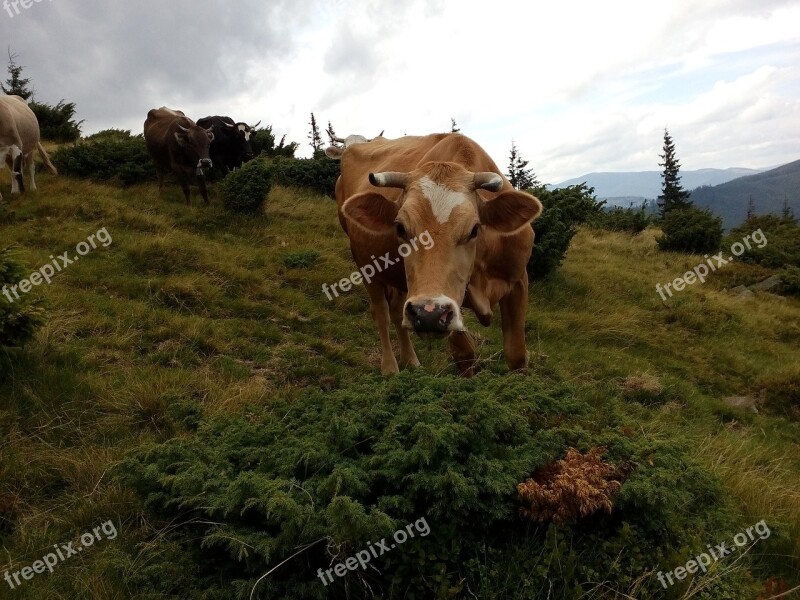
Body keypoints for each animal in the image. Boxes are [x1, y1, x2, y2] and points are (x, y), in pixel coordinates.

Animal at [326, 132, 544, 376]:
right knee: (381, 313)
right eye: (400, 228)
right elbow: (464, 353)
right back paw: (390, 366)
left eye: (474, 229)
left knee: (396, 311)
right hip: (364, 263)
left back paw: (410, 359)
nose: (426, 314)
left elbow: (517, 355)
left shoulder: (519, 280)